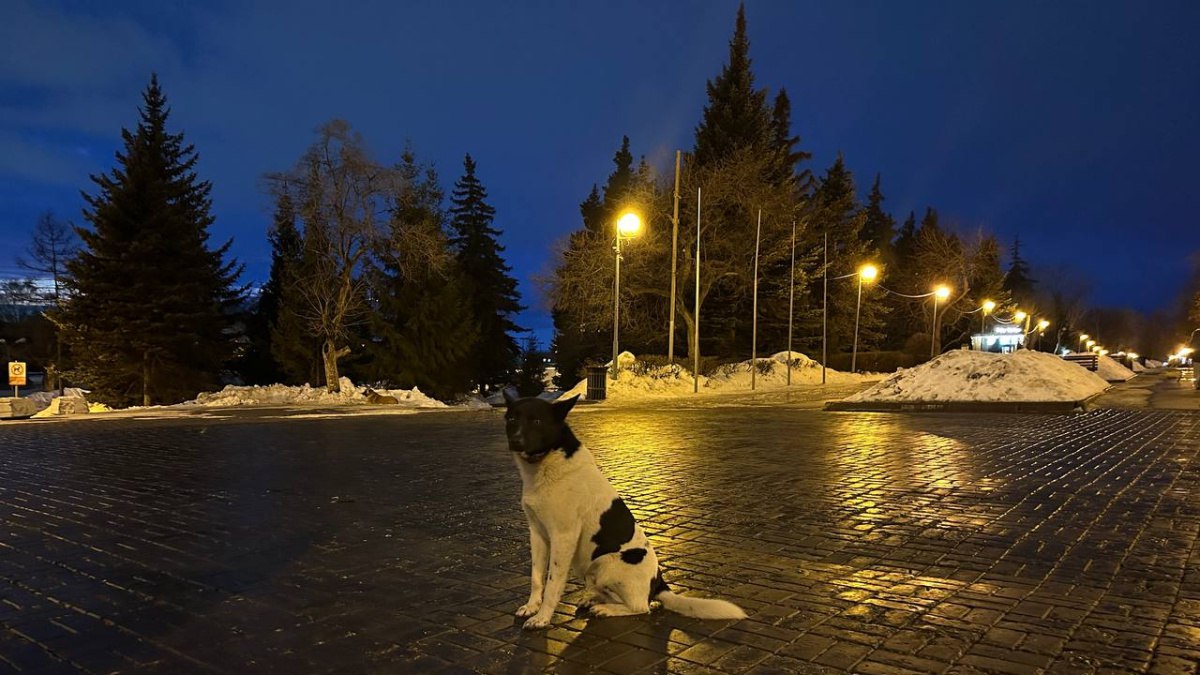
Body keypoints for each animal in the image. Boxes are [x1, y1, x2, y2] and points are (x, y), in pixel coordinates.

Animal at [501, 386, 744, 629]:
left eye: (537, 421)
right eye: (512, 418)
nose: (515, 441)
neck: (545, 464)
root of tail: (658, 582)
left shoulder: (564, 536)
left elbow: (553, 583)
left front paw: (542, 617)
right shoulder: (538, 534)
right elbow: (536, 577)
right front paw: (532, 606)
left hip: (607, 564)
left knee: (640, 607)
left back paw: (606, 609)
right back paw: (593, 599)